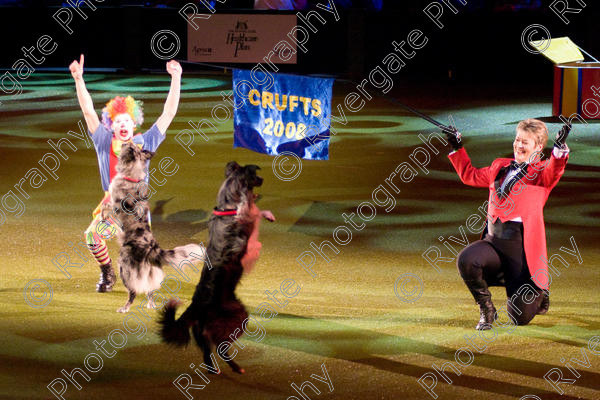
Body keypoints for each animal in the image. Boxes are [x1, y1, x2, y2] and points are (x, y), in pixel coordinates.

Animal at [102, 143, 205, 312]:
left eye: (128, 145)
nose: (124, 143)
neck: (132, 174)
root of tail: (153, 249)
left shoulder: (116, 205)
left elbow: (107, 206)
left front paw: (104, 215)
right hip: (150, 272)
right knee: (150, 290)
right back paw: (150, 305)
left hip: (124, 267)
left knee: (133, 292)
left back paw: (125, 308)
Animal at [157, 161, 274, 374]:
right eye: (255, 176)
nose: (263, 179)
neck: (227, 206)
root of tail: (195, 307)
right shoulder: (247, 225)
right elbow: (254, 214)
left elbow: (256, 211)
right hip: (239, 317)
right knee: (221, 346)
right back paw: (236, 368)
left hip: (201, 331)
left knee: (207, 351)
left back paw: (217, 369)